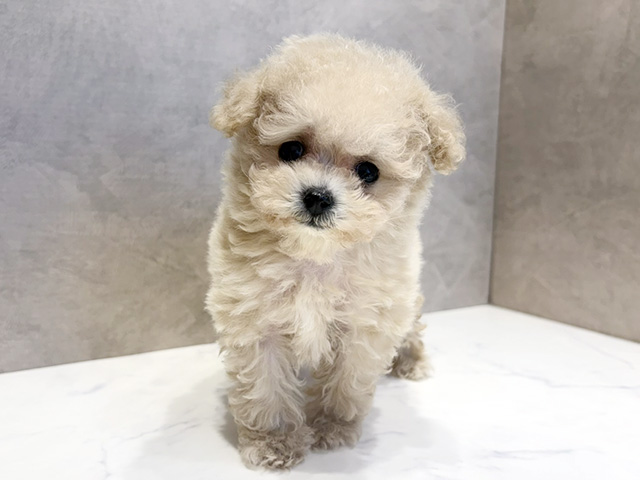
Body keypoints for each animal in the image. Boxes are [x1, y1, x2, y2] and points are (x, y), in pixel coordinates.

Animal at [206, 34, 465, 469]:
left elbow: (347, 383)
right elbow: (266, 389)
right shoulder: (255, 320)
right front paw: (275, 442)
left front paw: (333, 428)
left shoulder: (364, 323)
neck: (317, 256)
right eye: (291, 149)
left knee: (411, 325)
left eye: (368, 171)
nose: (317, 197)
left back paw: (411, 360)